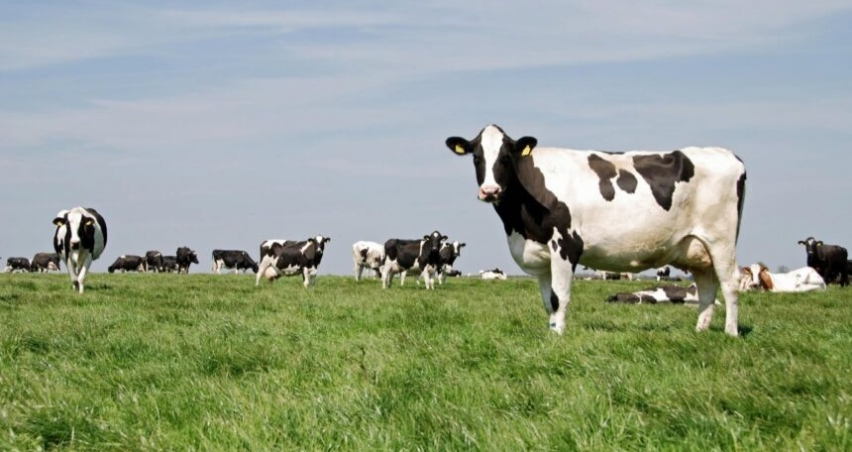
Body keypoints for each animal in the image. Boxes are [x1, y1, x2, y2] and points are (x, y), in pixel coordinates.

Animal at [446, 123, 744, 336]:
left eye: (506, 157)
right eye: (476, 158)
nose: (490, 191)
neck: (519, 226)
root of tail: (727, 153)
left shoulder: (566, 245)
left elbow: (560, 297)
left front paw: (558, 337)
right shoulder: (541, 257)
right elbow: (548, 301)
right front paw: (551, 333)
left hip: (722, 240)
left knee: (730, 284)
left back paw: (730, 333)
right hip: (697, 248)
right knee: (706, 288)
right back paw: (700, 331)